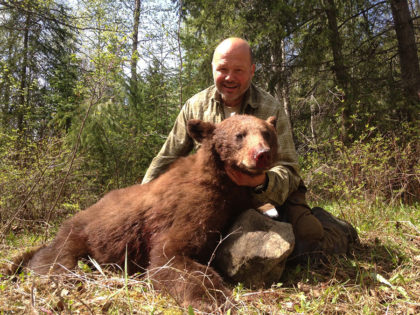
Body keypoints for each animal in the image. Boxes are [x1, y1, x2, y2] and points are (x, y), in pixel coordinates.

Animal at [6, 115, 278, 312]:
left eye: (266, 133)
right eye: (239, 135)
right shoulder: (189, 208)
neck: (225, 183)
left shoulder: (237, 199)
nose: (261, 154)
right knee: (55, 262)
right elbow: (168, 256)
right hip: (76, 235)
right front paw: (213, 298)